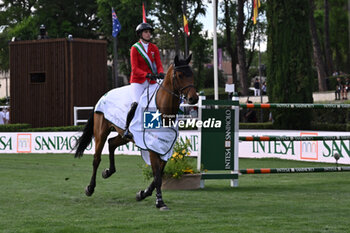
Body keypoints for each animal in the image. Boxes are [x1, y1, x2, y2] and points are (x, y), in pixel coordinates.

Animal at [73, 53, 198, 210]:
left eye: (192, 74)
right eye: (180, 75)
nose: (194, 98)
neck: (162, 111)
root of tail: (104, 95)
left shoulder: (165, 149)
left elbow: (159, 174)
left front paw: (142, 194)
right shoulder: (152, 148)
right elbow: (157, 176)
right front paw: (160, 202)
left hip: (124, 136)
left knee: (112, 143)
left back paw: (108, 172)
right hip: (101, 132)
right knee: (97, 159)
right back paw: (90, 188)